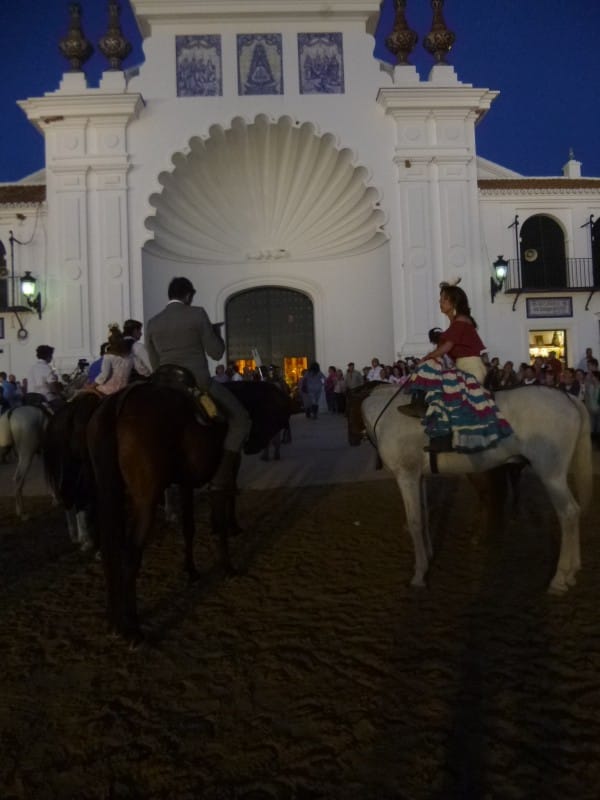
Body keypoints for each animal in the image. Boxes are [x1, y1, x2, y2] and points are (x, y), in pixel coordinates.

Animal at [55, 378, 290, 648]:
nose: (257, 445)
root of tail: (115, 405)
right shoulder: (221, 478)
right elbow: (220, 519)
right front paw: (228, 565)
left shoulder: (185, 484)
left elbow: (189, 527)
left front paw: (191, 570)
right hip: (145, 500)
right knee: (131, 553)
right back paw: (132, 628)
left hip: (108, 494)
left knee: (110, 548)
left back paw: (114, 619)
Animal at [350, 382, 592, 592]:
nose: (352, 440)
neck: (389, 414)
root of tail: (567, 397)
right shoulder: (419, 476)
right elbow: (424, 517)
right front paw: (428, 556)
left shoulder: (406, 475)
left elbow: (415, 522)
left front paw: (419, 575)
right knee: (574, 512)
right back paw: (572, 572)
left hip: (551, 474)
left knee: (568, 513)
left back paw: (560, 578)